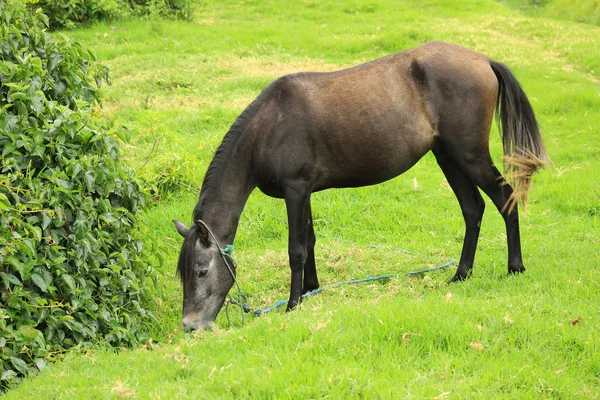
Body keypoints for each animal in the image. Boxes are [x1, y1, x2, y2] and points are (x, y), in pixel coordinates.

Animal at [172, 41, 548, 332]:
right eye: (183, 274)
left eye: (202, 271)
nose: (191, 326)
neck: (267, 128)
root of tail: (483, 59)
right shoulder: (305, 192)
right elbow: (310, 241)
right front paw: (311, 290)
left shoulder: (295, 191)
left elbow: (296, 249)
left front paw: (292, 304)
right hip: (447, 156)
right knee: (473, 209)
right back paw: (460, 275)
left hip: (469, 155)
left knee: (505, 198)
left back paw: (514, 267)